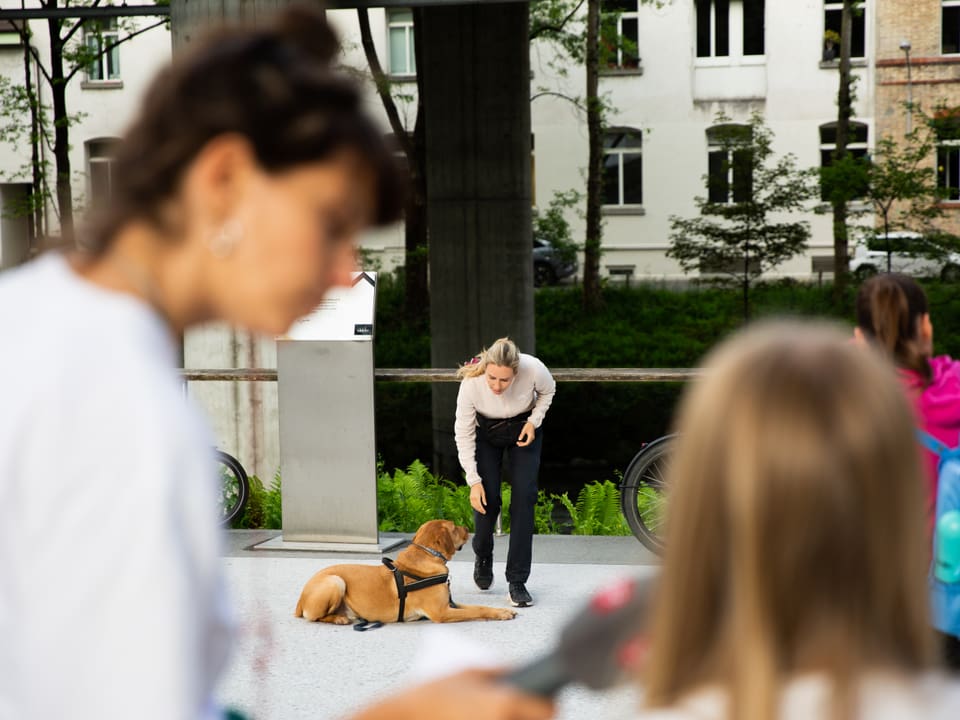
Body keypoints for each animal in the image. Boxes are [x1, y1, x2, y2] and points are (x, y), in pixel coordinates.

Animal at [296, 520, 516, 620]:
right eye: (454, 527)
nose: (468, 529)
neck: (427, 555)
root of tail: (300, 601)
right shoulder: (442, 612)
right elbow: (476, 611)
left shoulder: (449, 604)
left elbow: (480, 606)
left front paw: (502, 611)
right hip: (335, 581)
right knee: (315, 617)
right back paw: (339, 618)